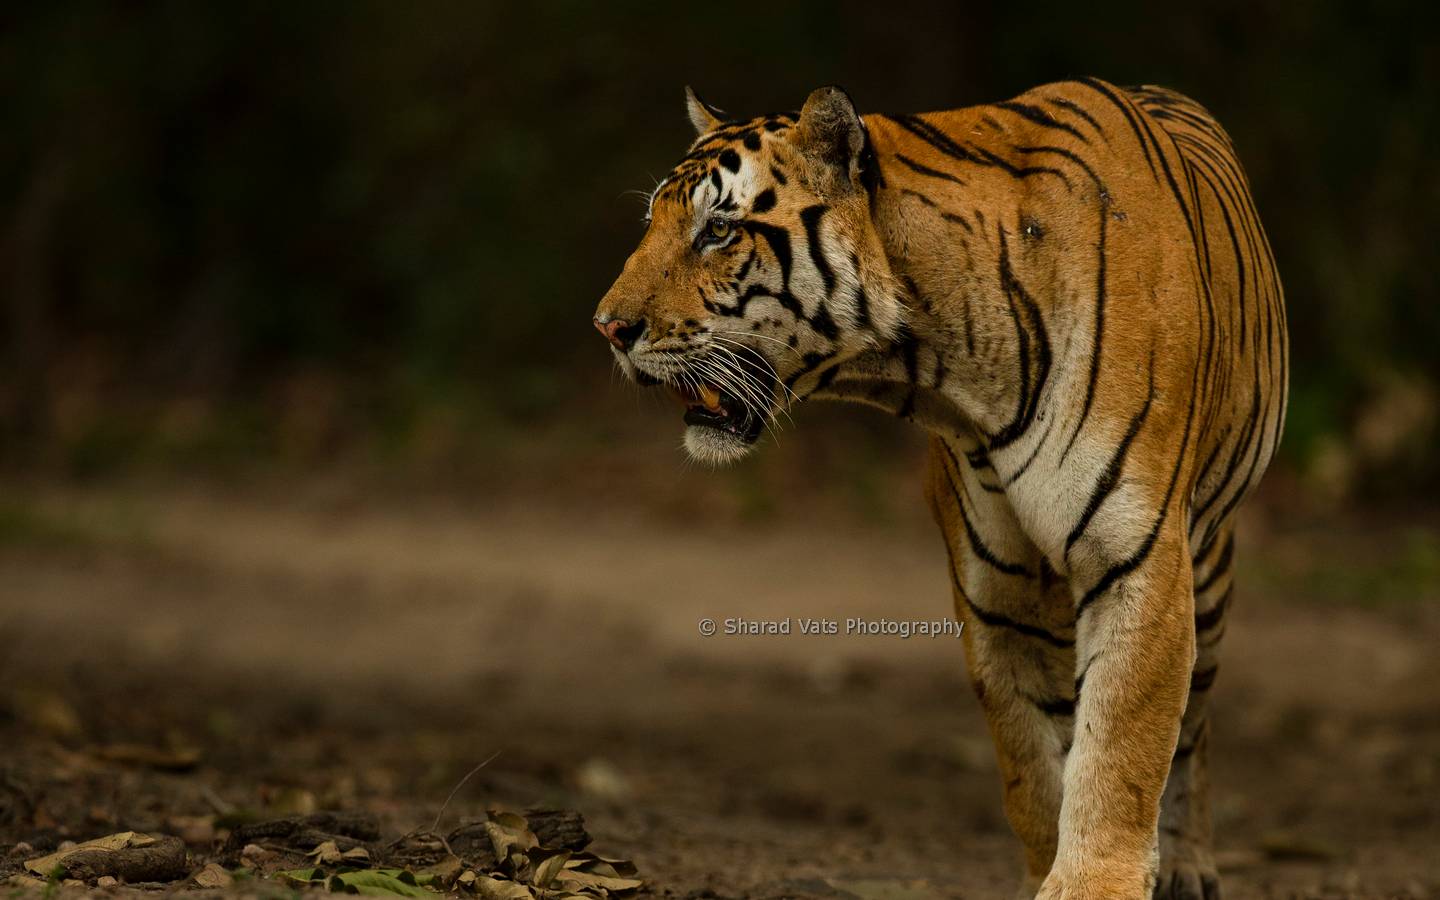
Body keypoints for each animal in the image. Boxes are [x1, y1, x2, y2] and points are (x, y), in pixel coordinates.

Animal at [590, 78, 1290, 898]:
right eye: (654, 223)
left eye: (719, 231)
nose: (607, 327)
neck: (948, 369)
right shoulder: (997, 595)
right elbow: (1033, 767)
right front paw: (1046, 868)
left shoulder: (1137, 557)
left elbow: (1123, 746)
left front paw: (1094, 880)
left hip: (1208, 574)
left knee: (1195, 728)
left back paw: (1185, 866)